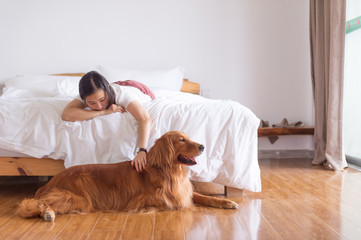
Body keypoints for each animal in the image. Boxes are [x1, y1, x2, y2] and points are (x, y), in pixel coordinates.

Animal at [16, 131, 236, 221]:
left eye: (188, 137)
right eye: (181, 139)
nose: (202, 146)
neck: (168, 171)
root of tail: (48, 183)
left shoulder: (184, 191)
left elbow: (204, 197)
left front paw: (227, 202)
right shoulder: (141, 199)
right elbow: (167, 201)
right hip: (78, 197)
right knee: (33, 205)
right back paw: (48, 213)